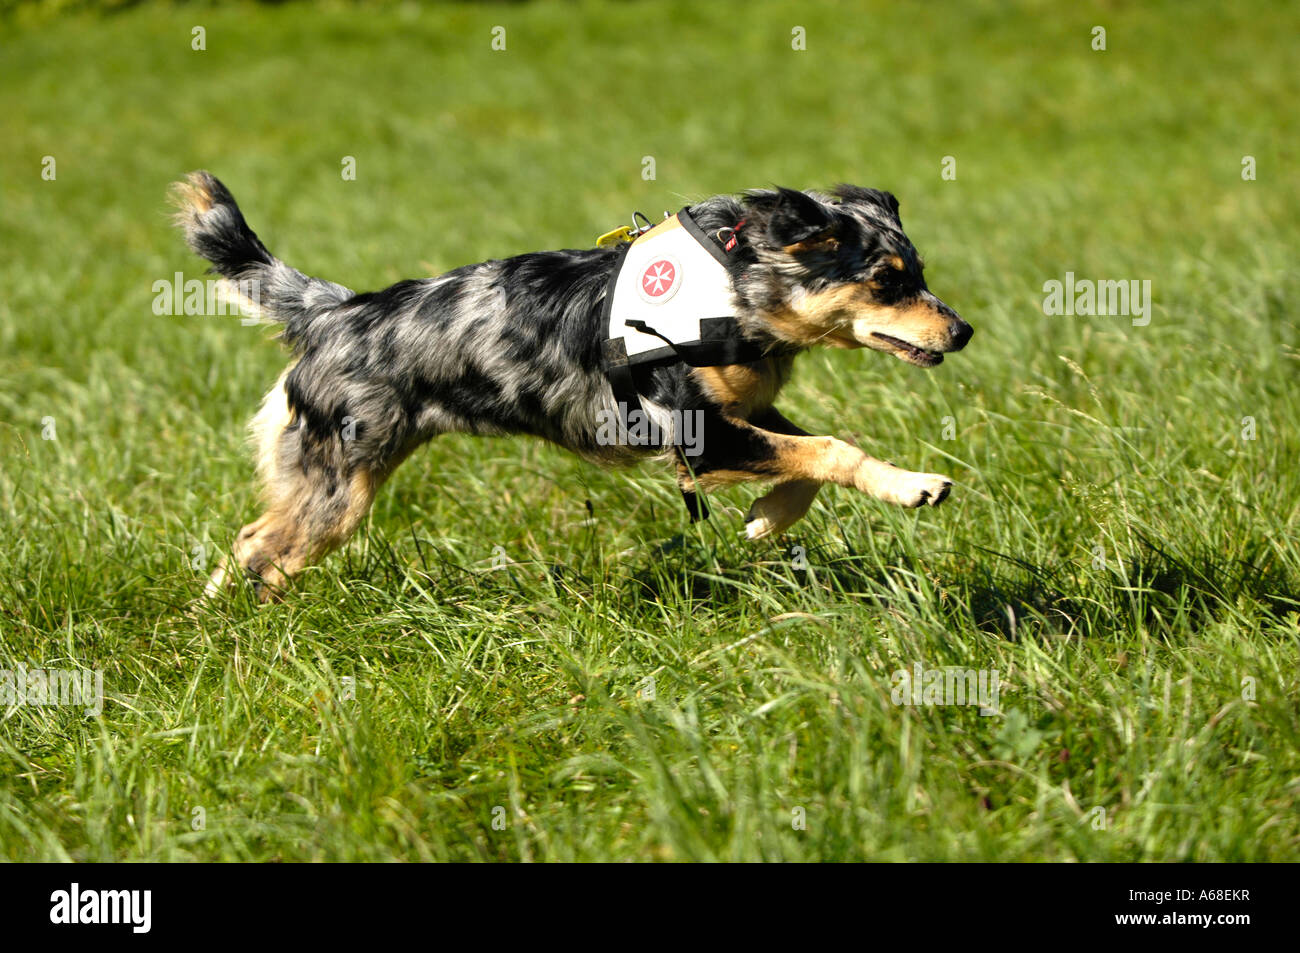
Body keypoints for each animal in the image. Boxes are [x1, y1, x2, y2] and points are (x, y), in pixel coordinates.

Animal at [170, 171, 967, 598]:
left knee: (257, 546)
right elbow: (833, 448)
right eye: (887, 280)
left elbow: (808, 463)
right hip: (339, 486)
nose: (962, 331)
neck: (737, 282)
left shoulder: (740, 414)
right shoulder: (701, 436)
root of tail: (336, 310)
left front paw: (767, 518)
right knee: (255, 547)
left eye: (922, 274)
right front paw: (913, 486)